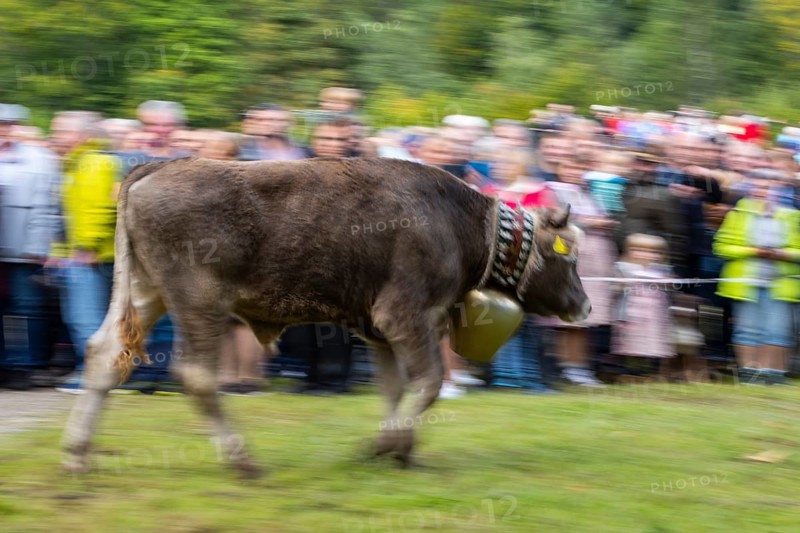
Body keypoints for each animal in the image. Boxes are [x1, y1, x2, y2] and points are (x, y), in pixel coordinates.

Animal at [62, 157, 590, 477]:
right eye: (569, 256)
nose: (585, 306)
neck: (460, 222)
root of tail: (160, 165)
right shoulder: (405, 315)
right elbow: (429, 383)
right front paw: (390, 444)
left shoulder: (379, 329)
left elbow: (395, 389)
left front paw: (395, 448)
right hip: (198, 302)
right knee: (196, 376)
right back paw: (242, 459)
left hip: (146, 291)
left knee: (104, 354)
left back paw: (78, 454)